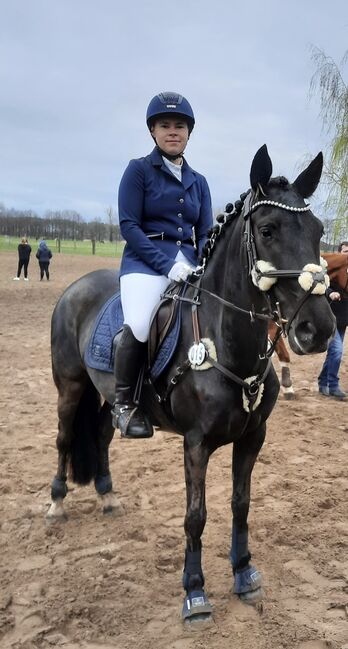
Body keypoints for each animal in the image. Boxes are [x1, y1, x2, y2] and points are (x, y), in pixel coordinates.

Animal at [46, 146, 334, 624]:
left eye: (319, 231)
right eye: (268, 230)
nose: (320, 330)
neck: (228, 339)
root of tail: (76, 287)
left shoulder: (253, 437)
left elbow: (240, 503)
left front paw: (244, 573)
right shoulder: (196, 443)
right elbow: (195, 516)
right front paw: (195, 593)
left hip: (106, 398)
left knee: (103, 435)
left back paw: (107, 495)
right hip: (69, 388)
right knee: (66, 438)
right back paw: (55, 503)